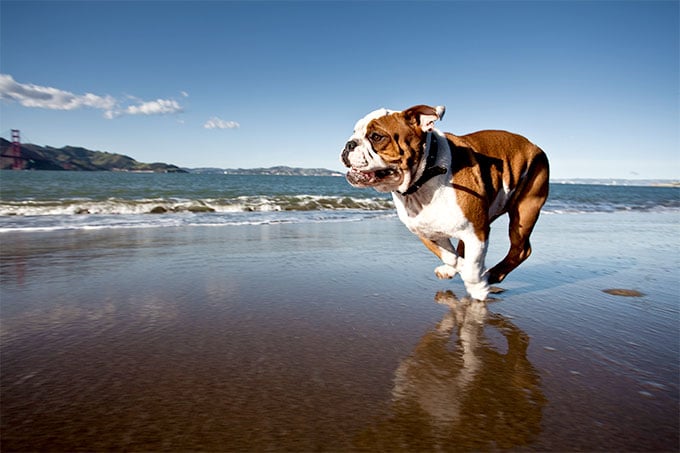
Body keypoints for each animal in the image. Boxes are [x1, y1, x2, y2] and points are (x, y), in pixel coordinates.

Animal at [338, 103, 548, 298]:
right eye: (354, 132)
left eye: (376, 137)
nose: (349, 144)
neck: (422, 180)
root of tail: (534, 145)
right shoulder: (425, 231)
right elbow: (451, 256)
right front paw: (458, 269)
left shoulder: (476, 232)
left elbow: (471, 267)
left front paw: (479, 287)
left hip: (525, 211)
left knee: (521, 249)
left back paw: (493, 275)